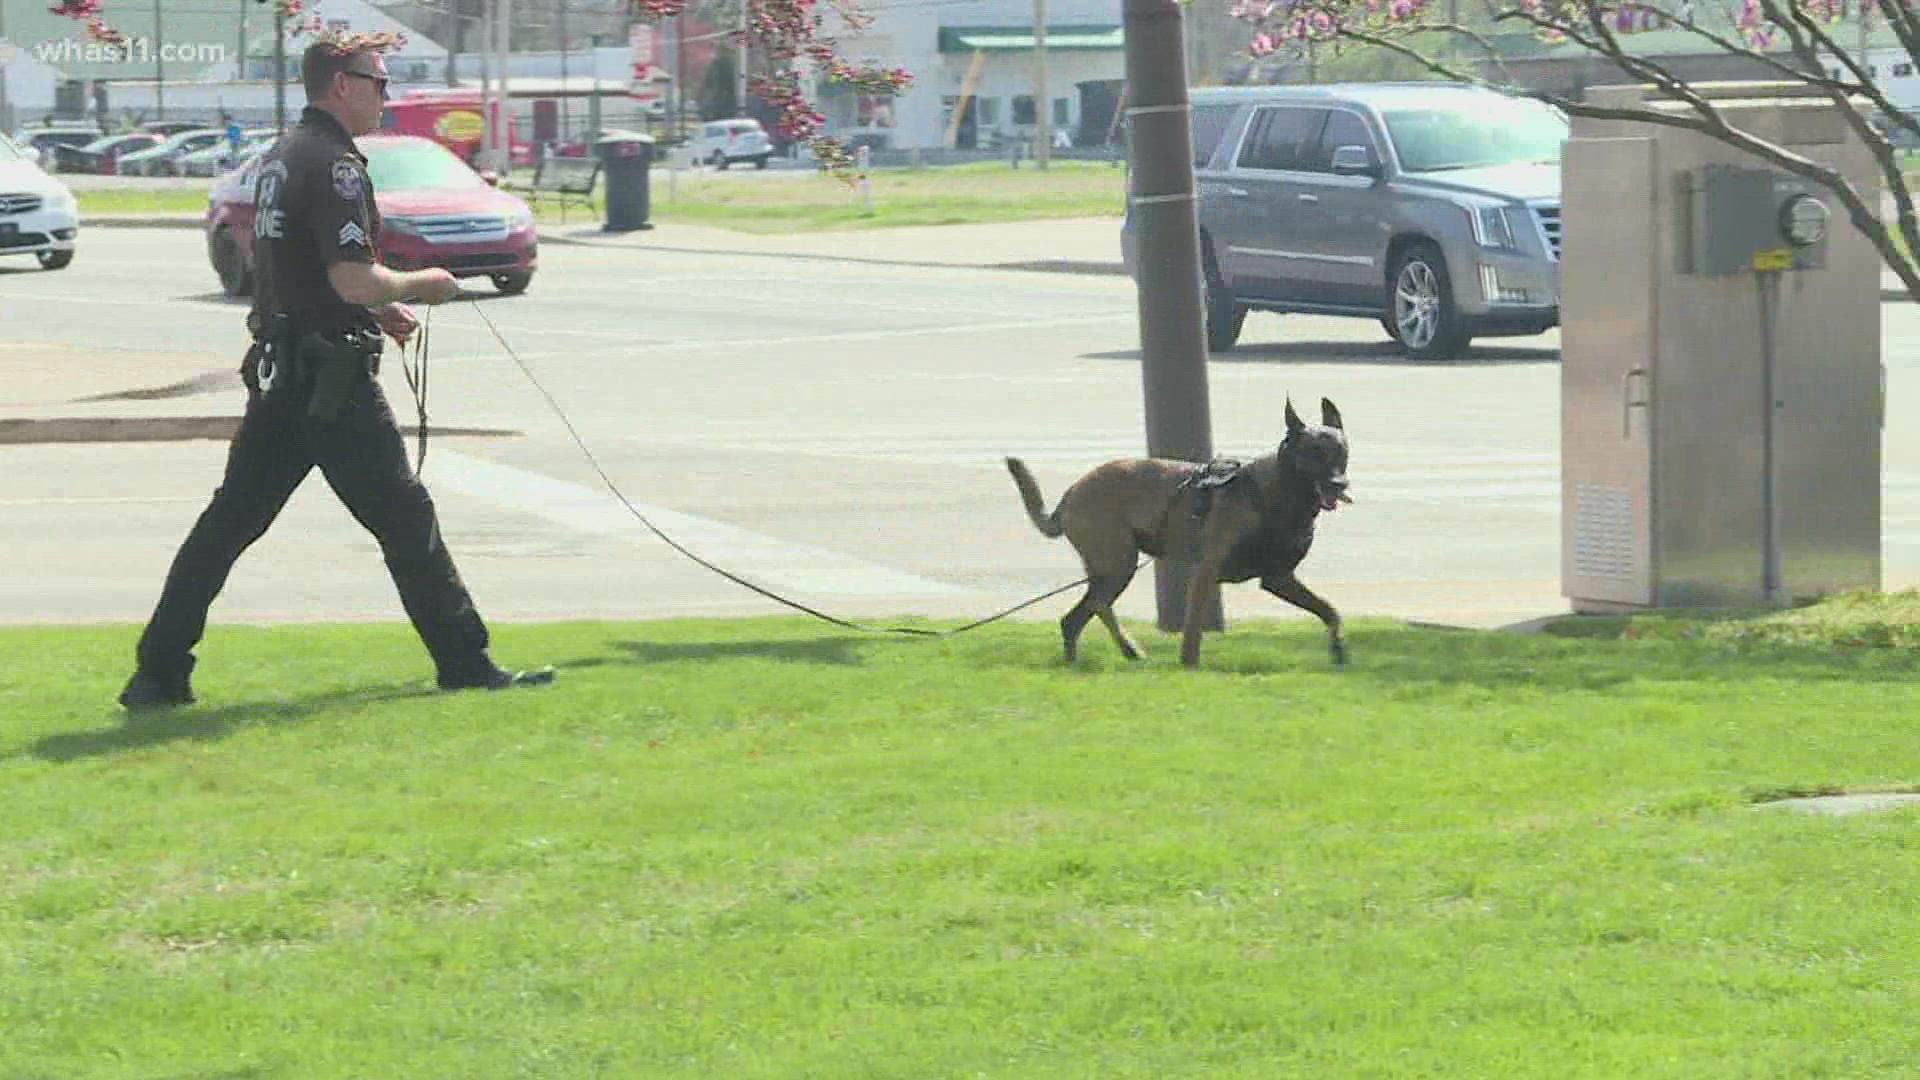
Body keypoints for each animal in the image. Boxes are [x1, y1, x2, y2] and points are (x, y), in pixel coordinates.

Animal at [1006, 395, 1351, 664]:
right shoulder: (1206, 573)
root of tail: (1072, 492)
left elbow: (1330, 611)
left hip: (1112, 568)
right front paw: (1189, 669)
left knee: (1086, 612)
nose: (1339, 484)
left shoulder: (1280, 578)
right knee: (1086, 612)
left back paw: (1113, 653)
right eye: (1313, 454)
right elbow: (1192, 635)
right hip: (1119, 565)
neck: (1277, 493)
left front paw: (1338, 650)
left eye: (1341, 453)